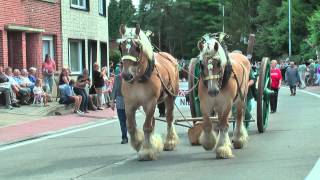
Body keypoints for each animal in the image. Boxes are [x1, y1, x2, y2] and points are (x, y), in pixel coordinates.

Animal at [118, 25, 180, 160]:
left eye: (137, 48)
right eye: (121, 47)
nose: (126, 75)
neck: (138, 79)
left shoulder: (151, 102)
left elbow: (147, 127)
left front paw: (146, 150)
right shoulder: (129, 104)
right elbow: (131, 126)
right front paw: (139, 144)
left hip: (170, 97)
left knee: (169, 118)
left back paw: (170, 142)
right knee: (153, 121)